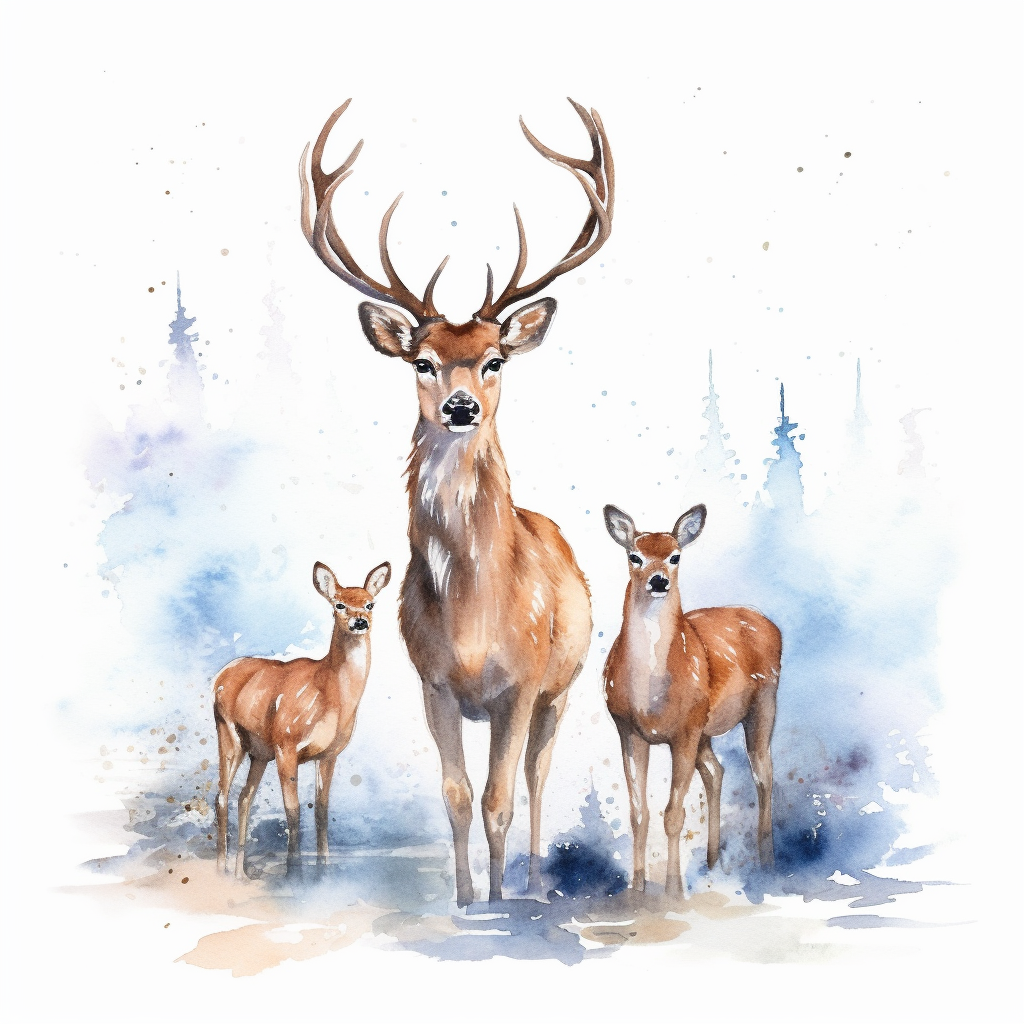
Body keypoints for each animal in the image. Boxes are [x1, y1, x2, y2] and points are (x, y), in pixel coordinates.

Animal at [213, 560, 391, 877]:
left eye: (370, 603)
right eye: (339, 604)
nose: (360, 621)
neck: (330, 696)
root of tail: (219, 676)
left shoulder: (329, 754)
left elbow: (321, 810)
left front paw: (323, 871)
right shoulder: (287, 744)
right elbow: (293, 810)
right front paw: (293, 873)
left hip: (259, 751)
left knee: (244, 797)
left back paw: (240, 872)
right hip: (229, 734)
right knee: (222, 796)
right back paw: (221, 869)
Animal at [298, 98, 613, 904]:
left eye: (495, 359)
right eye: (423, 360)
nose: (463, 406)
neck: (474, 615)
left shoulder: (523, 684)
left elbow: (501, 797)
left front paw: (500, 902)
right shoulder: (432, 682)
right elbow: (457, 797)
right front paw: (467, 899)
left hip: (562, 691)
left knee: (537, 779)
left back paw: (532, 880)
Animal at [601, 504, 781, 895]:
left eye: (675, 556)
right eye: (634, 556)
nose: (658, 581)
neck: (649, 699)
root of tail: (771, 625)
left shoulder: (684, 730)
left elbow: (673, 814)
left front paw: (673, 889)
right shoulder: (628, 730)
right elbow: (638, 813)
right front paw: (636, 888)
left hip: (763, 702)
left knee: (763, 772)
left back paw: (767, 860)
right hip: (706, 729)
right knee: (716, 771)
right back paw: (713, 860)